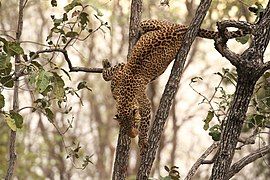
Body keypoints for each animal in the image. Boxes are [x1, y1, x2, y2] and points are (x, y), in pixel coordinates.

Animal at [102, 19, 250, 155]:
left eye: (135, 124)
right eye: (124, 127)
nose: (132, 135)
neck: (124, 97)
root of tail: (180, 28)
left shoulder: (144, 103)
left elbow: (145, 121)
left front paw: (143, 144)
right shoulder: (120, 74)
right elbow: (110, 73)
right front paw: (105, 64)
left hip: (148, 23)